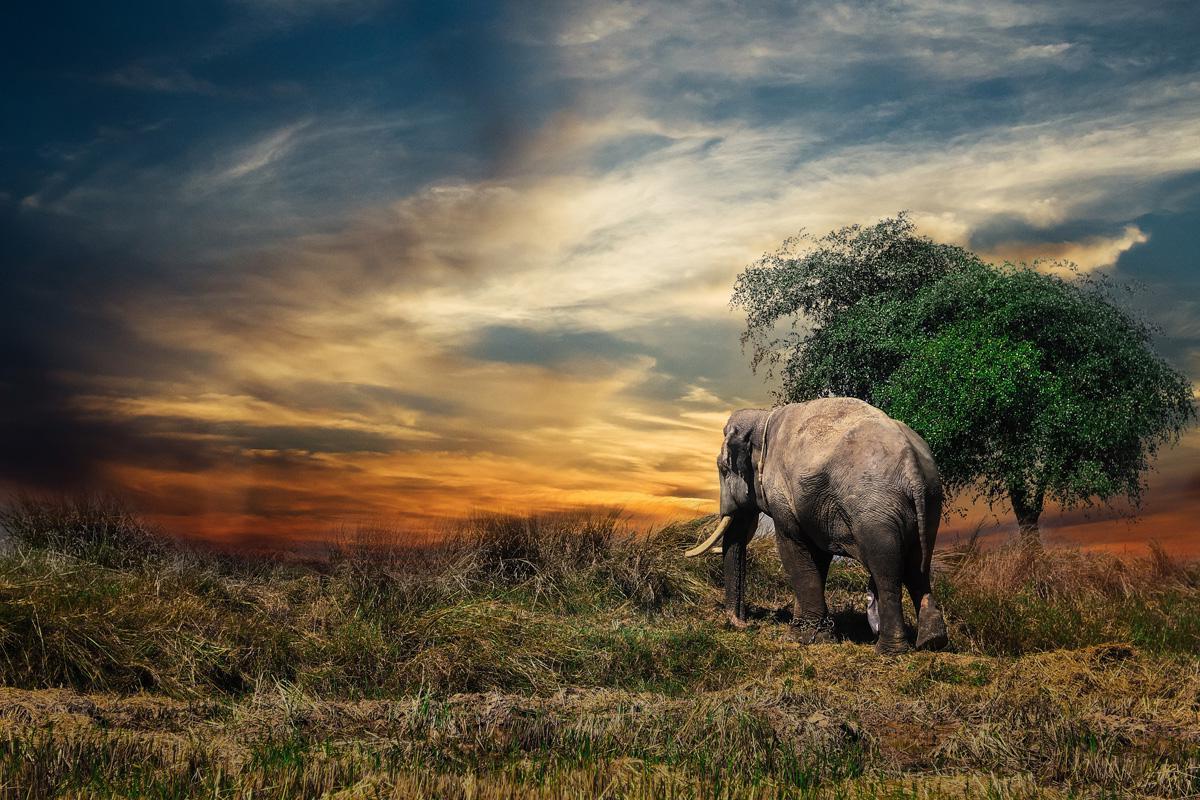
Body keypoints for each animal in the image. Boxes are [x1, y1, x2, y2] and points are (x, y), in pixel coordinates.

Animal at [684, 397, 947, 655]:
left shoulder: (784, 495)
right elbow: (817, 556)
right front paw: (805, 634)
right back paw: (932, 642)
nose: (744, 623)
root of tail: (912, 467)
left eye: (723, 468)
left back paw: (889, 650)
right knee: (918, 566)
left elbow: (792, 548)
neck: (763, 417)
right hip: (930, 503)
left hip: (876, 509)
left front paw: (807, 639)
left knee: (887, 570)